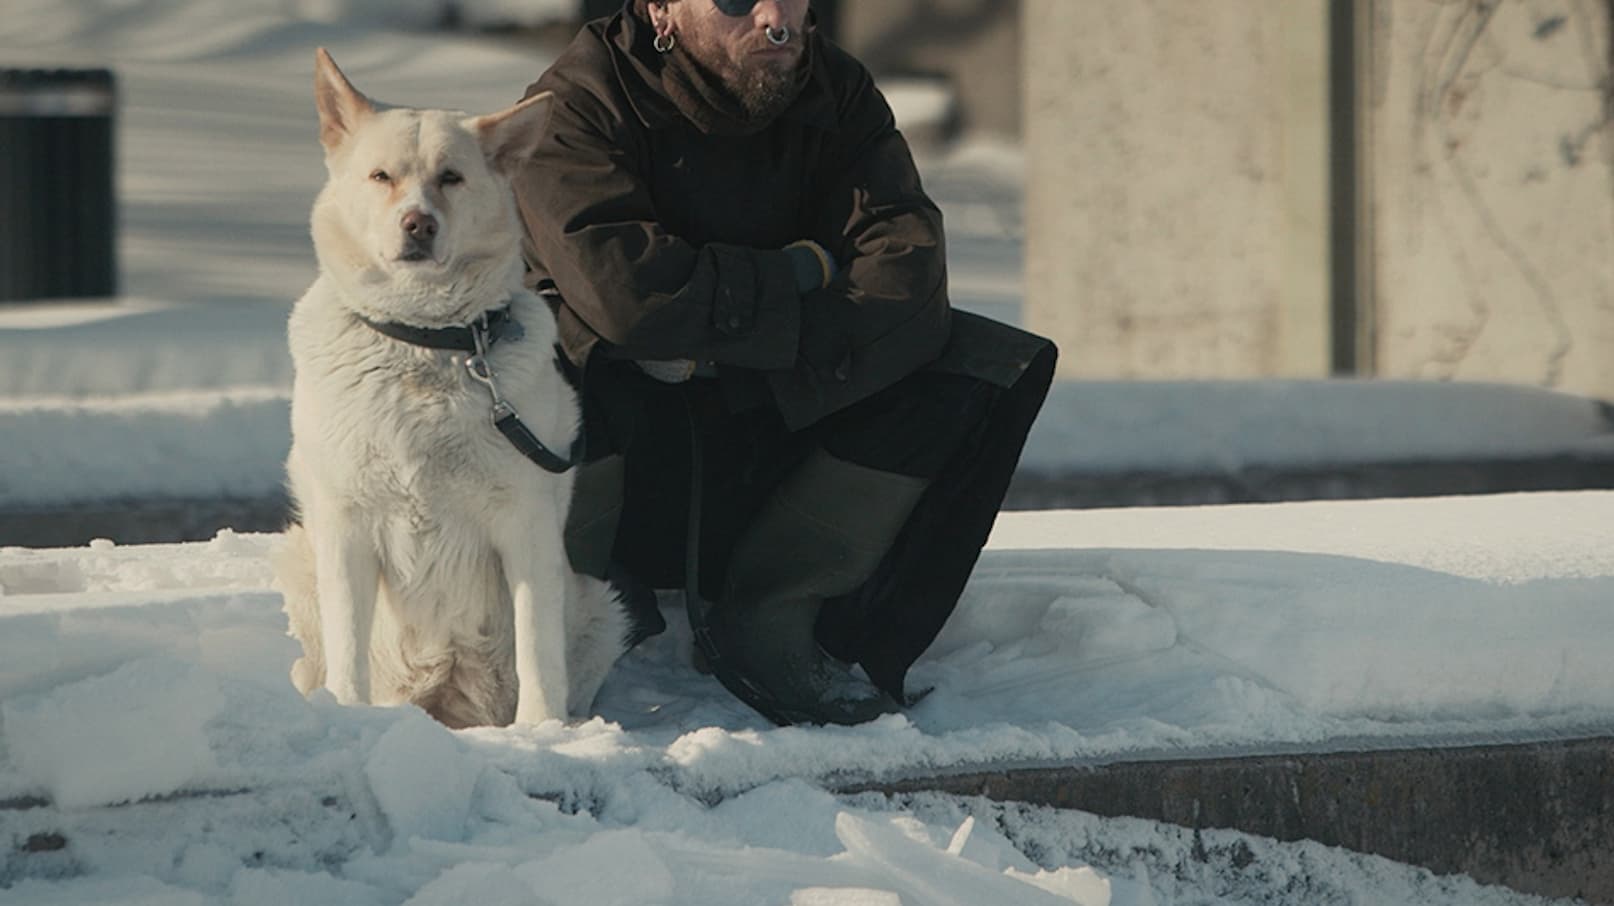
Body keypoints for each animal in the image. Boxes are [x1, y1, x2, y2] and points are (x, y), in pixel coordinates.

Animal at [274, 48, 628, 728]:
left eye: (452, 178)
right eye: (381, 176)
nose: (419, 224)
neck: (424, 346)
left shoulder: (525, 525)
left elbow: (537, 650)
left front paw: (541, 733)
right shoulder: (347, 522)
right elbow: (348, 645)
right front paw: (348, 716)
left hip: (600, 604)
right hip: (301, 555)